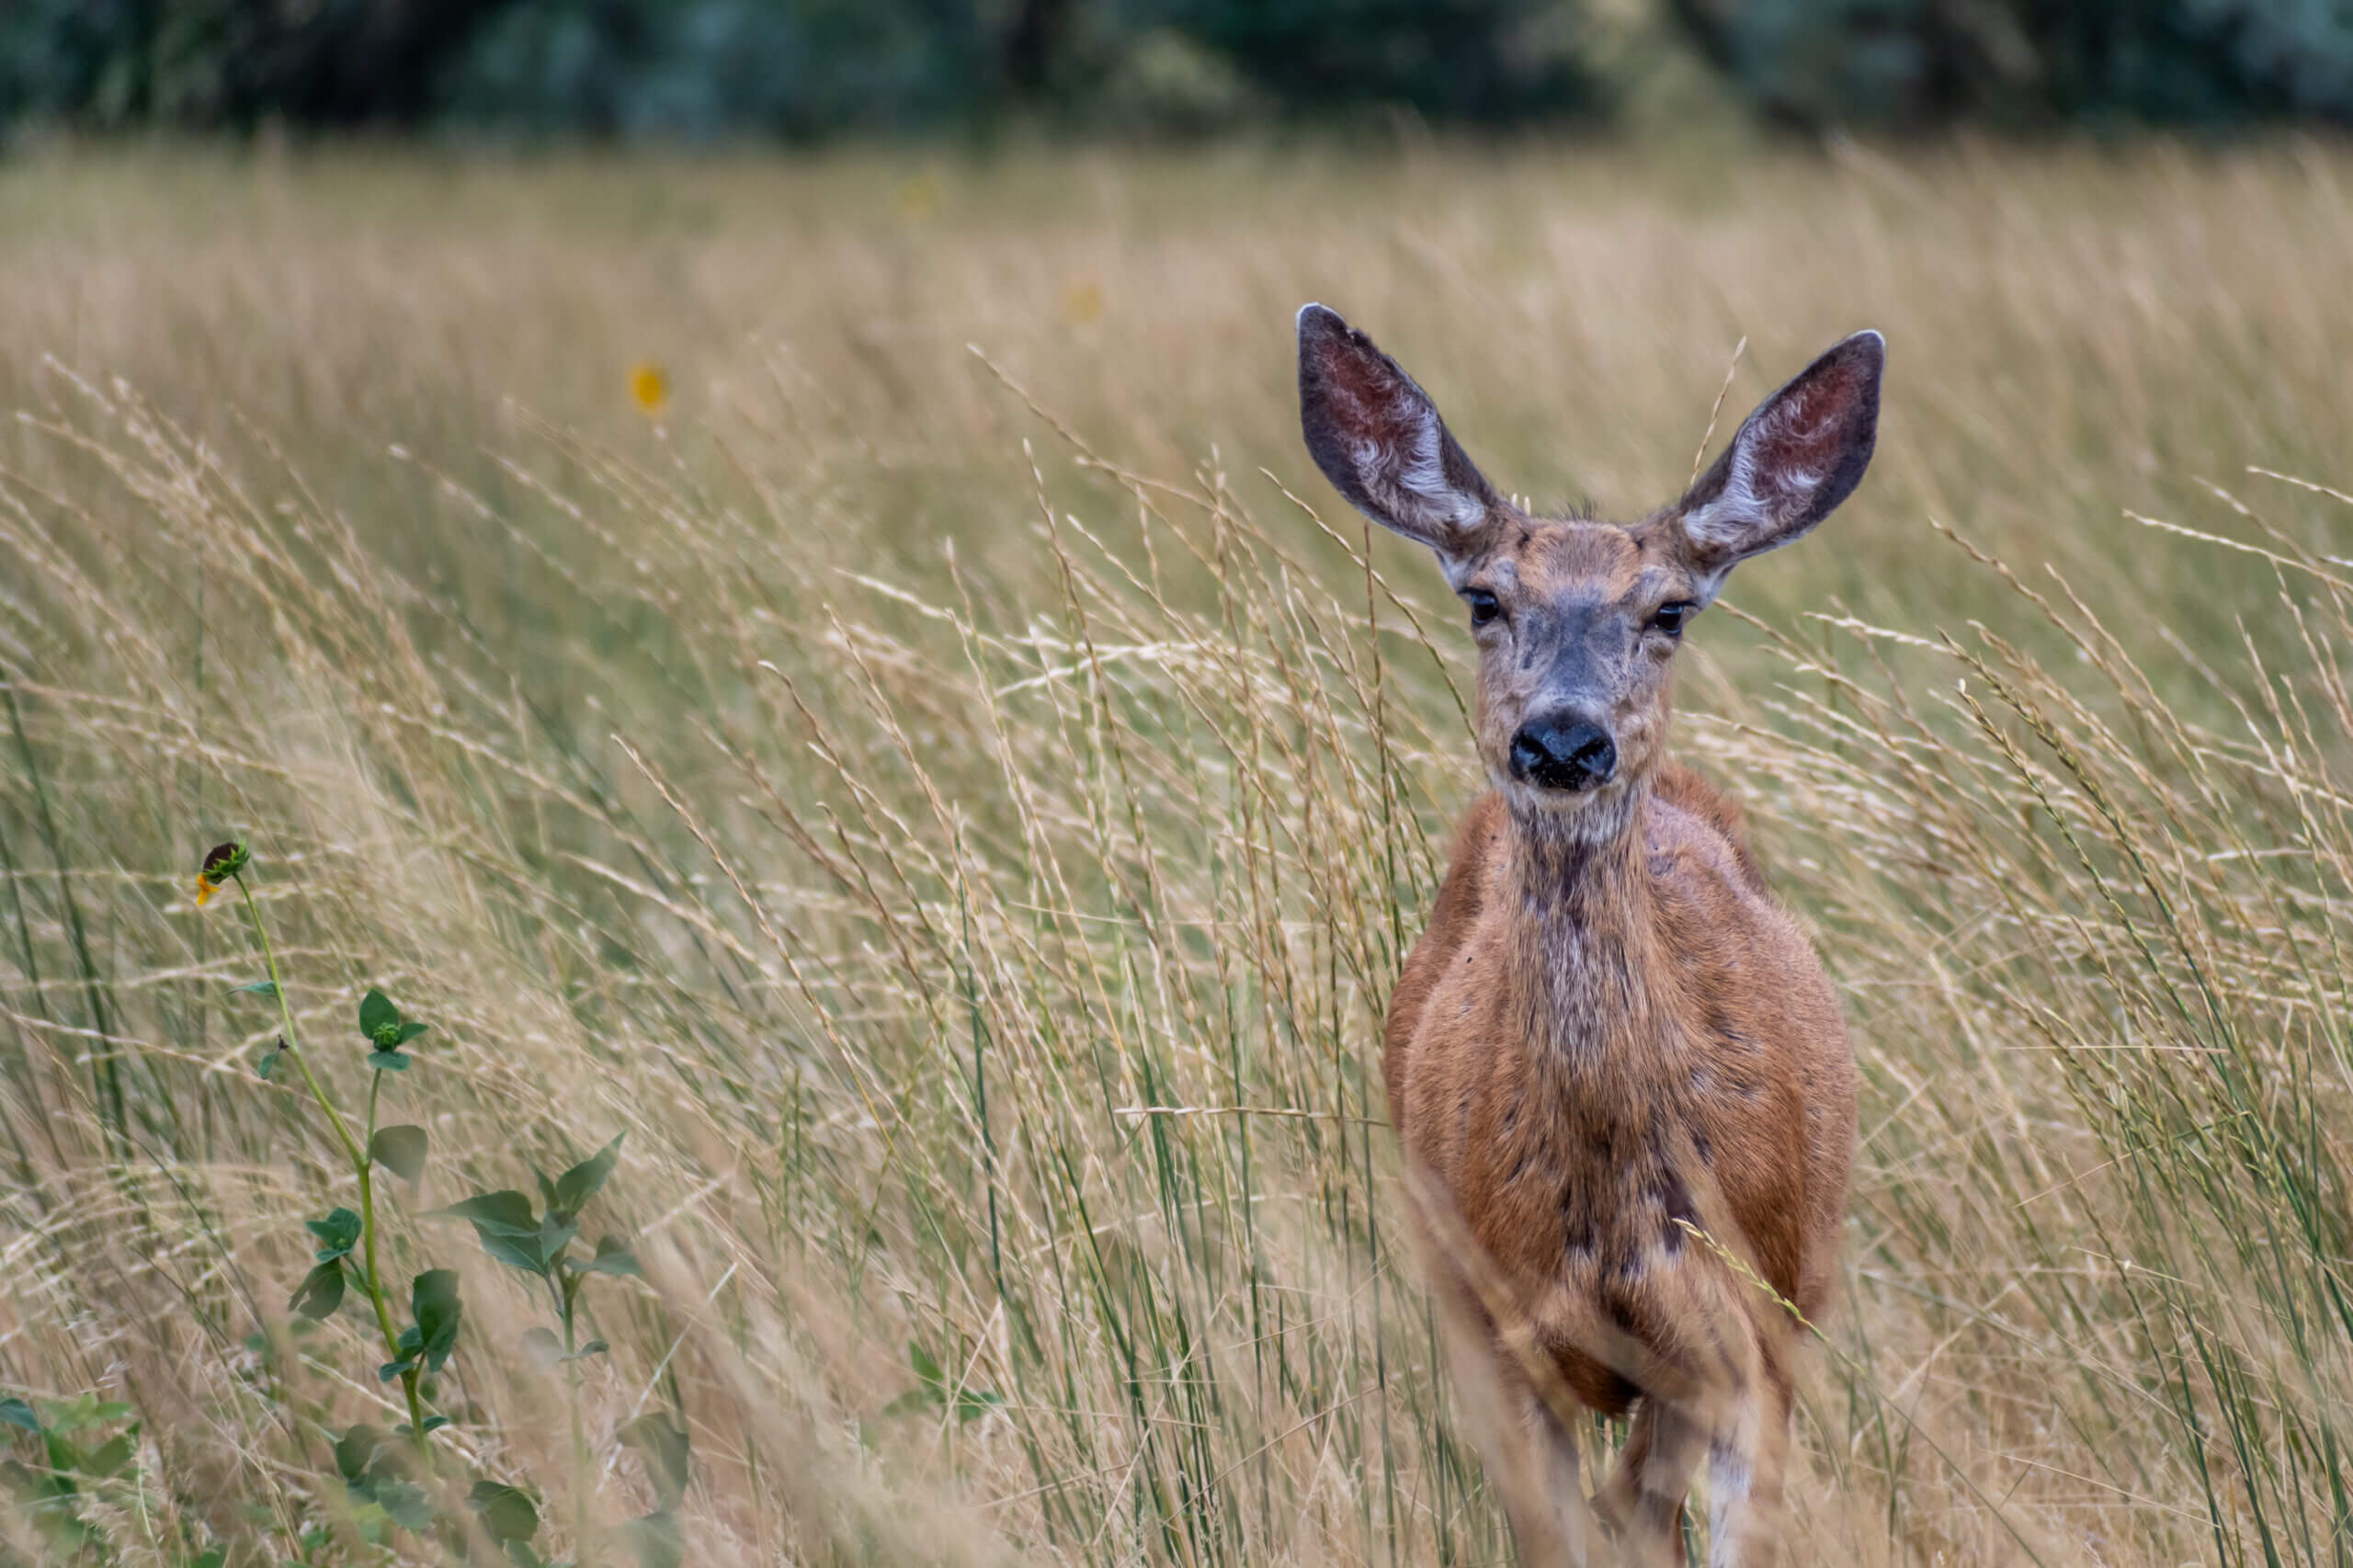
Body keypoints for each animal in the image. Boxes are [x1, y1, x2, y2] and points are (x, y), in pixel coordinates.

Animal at [1296, 304, 1877, 1567]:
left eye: (1668, 609)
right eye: (1484, 598)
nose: (1563, 740)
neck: (1609, 1202)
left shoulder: (1752, 1335)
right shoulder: (1499, 1337)